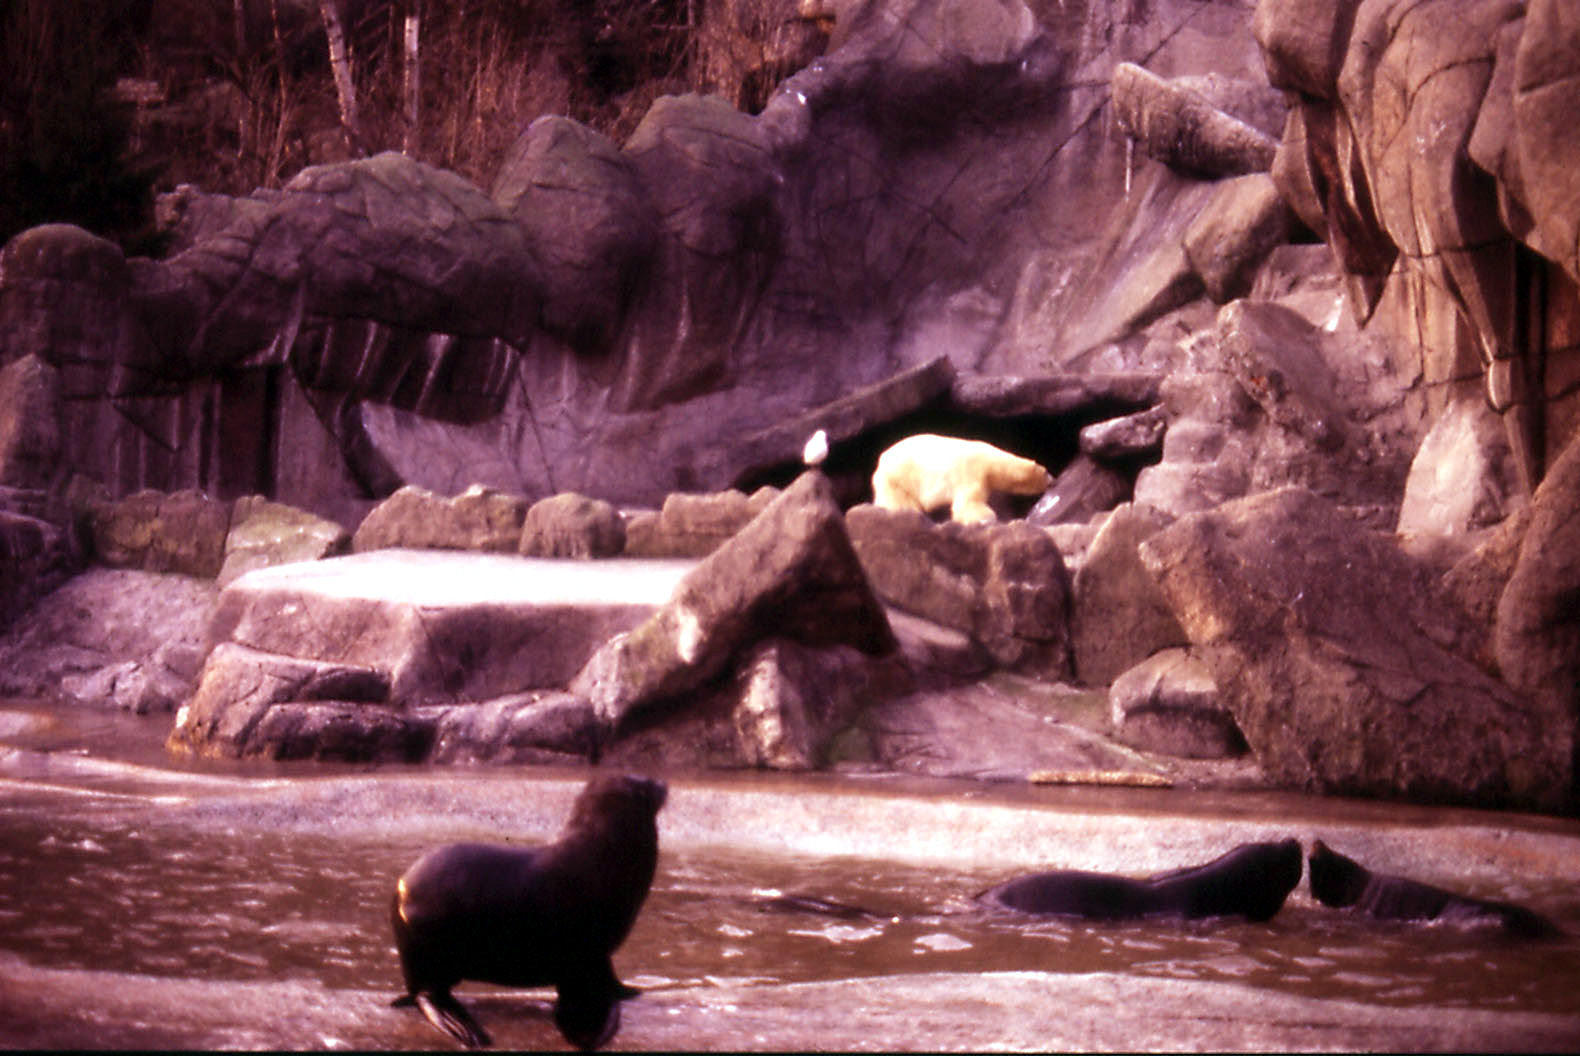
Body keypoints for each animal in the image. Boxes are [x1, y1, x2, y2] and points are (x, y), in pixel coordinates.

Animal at [870, 433, 1052, 524]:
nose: (1053, 480)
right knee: (899, 500)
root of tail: (881, 460)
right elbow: (968, 501)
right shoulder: (972, 471)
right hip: (899, 476)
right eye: (1046, 472)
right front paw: (986, 518)